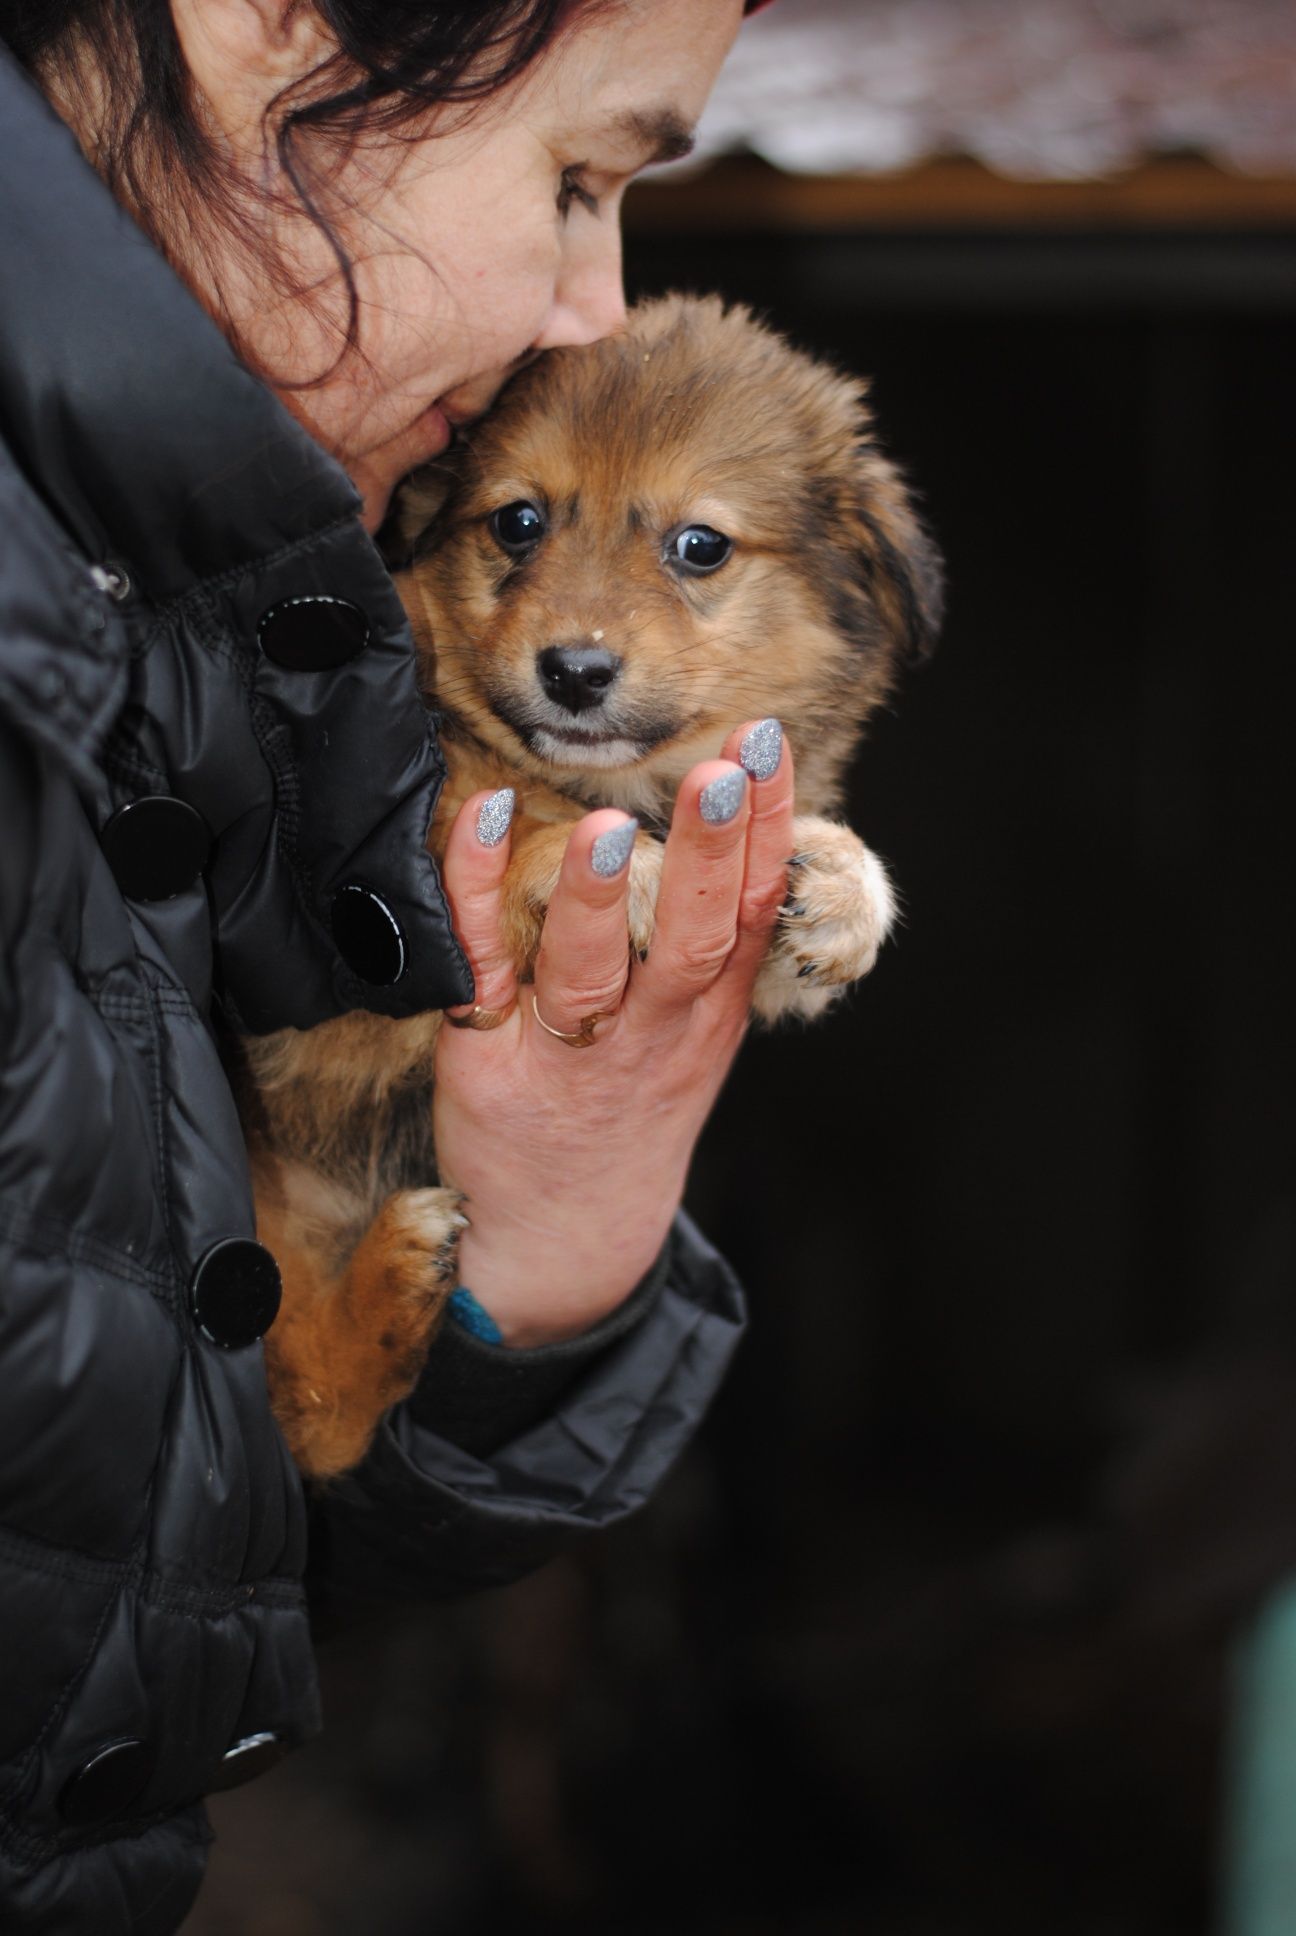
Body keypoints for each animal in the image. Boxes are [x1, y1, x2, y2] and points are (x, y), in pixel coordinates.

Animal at [242, 294, 933, 1471]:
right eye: (517, 523)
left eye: (700, 546)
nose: (574, 672)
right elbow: (513, 821)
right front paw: (627, 869)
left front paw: (839, 888)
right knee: (310, 1405)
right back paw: (396, 1274)